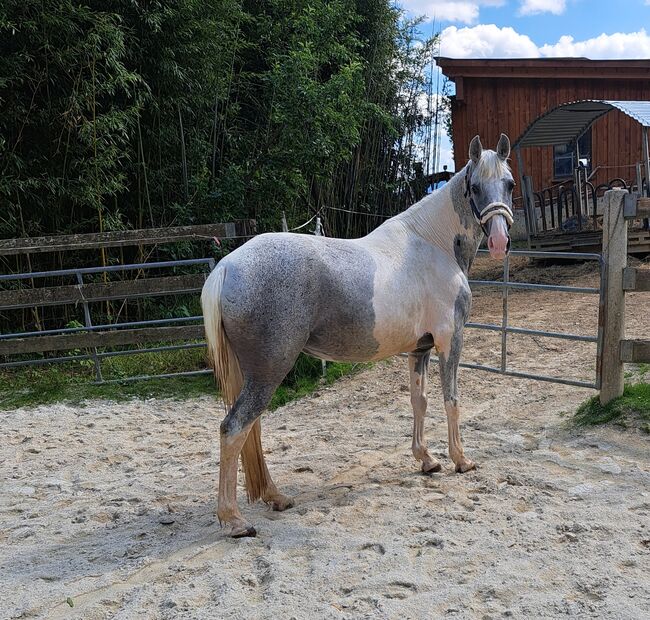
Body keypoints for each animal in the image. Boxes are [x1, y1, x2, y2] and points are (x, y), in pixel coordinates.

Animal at [201, 134, 514, 537]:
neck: (433, 244)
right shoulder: (450, 340)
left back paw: (275, 497)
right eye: (475, 187)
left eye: (509, 184)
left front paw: (426, 460)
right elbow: (452, 400)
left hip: (253, 374)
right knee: (234, 428)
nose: (500, 241)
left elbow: (419, 401)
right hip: (268, 372)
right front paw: (461, 459)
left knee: (250, 431)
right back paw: (233, 520)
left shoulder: (421, 349)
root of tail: (227, 266)